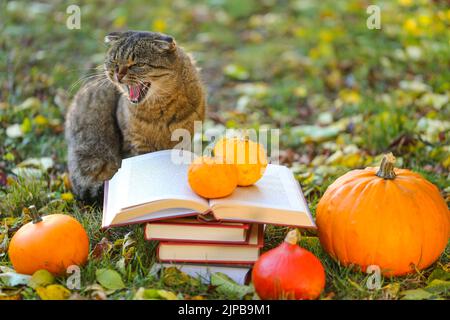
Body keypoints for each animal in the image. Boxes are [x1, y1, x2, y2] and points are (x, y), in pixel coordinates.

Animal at [65, 30, 206, 200]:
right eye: (114, 61)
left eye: (138, 65)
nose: (118, 74)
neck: (158, 111)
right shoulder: (136, 143)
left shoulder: (184, 139)